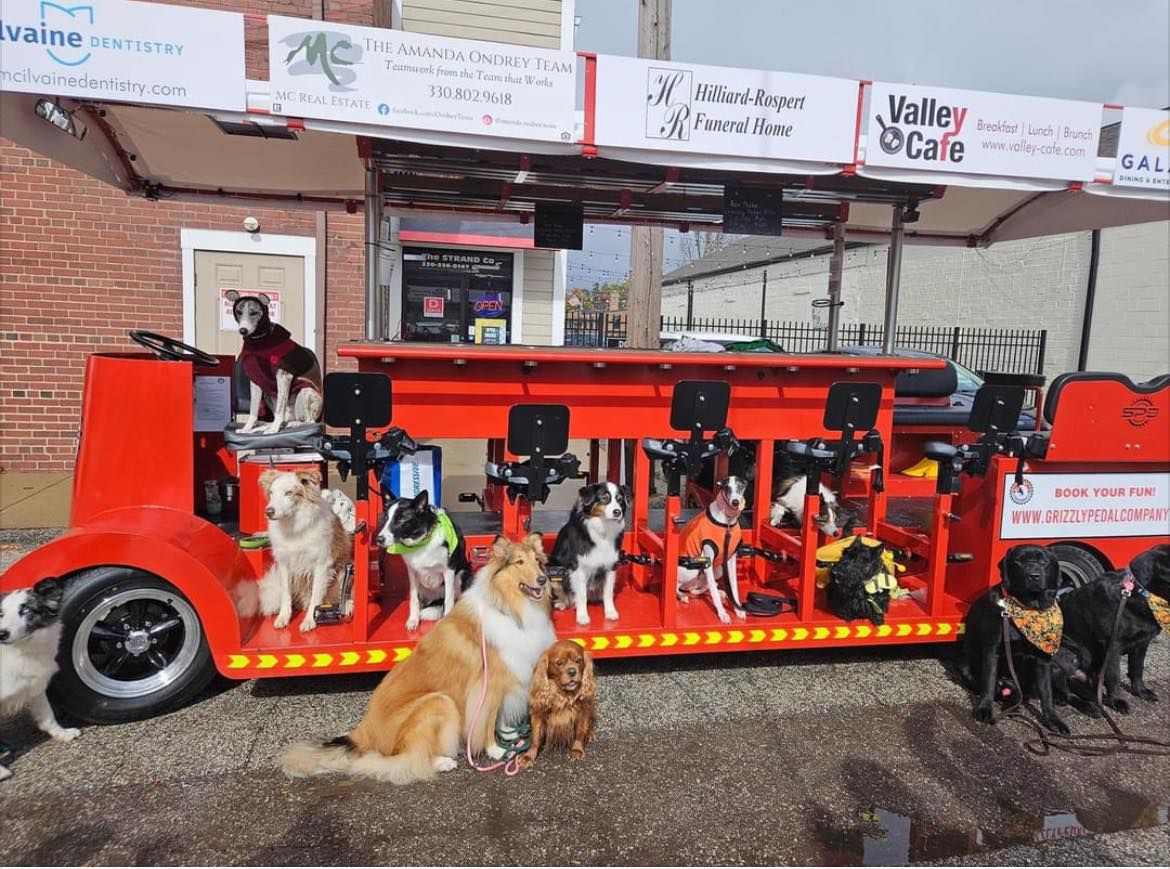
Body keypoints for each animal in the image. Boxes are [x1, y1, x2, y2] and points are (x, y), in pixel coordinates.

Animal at [0, 577, 79, 781]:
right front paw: (1, 771)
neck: (21, 650)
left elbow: (47, 715)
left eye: (26, 610)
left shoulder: (35, 686)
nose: (2, 633)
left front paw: (62, 734)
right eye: (1, 613)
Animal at [256, 470, 346, 631]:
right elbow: (286, 594)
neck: (294, 527)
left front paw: (310, 620)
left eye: (289, 492)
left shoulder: (322, 564)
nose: (269, 512)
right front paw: (283, 617)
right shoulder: (284, 564)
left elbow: (315, 596)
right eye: (271, 492)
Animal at [281, 533, 556, 785]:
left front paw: (508, 735)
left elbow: (498, 717)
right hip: (439, 702)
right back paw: (444, 761)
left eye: (538, 562)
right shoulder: (488, 685)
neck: (508, 606)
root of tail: (364, 731)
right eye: (519, 562)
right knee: (409, 758)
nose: (543, 579)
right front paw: (496, 750)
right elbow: (487, 721)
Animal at [372, 493, 467, 626]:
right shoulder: (412, 573)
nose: (378, 539)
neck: (421, 542)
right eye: (386, 518)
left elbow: (448, 600)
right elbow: (414, 598)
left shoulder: (449, 570)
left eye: (401, 519)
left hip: (461, 576)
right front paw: (413, 619)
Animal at [547, 481, 631, 626]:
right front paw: (582, 616)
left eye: (620, 499)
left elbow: (608, 592)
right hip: (553, 566)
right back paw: (563, 603)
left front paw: (610, 612)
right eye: (604, 498)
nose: (618, 512)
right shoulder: (578, 567)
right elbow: (581, 595)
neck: (603, 528)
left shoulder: (610, 566)